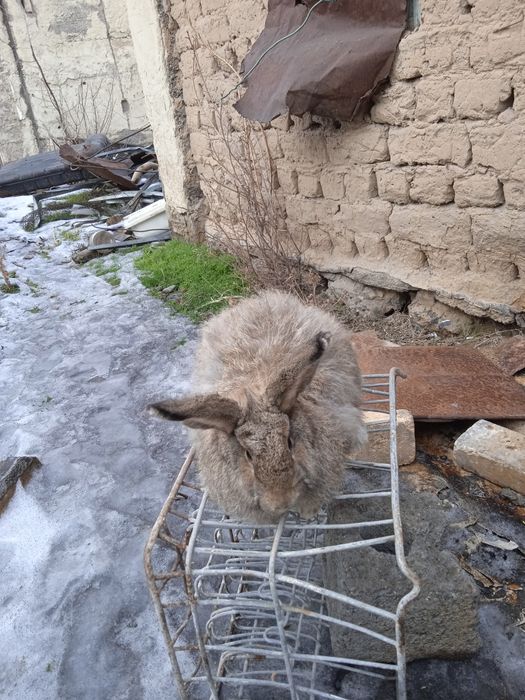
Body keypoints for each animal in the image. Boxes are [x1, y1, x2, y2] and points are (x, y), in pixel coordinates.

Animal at [149, 290, 366, 523]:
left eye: (290, 443)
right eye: (248, 455)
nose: (281, 502)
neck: (255, 393)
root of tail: (262, 300)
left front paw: (308, 513)